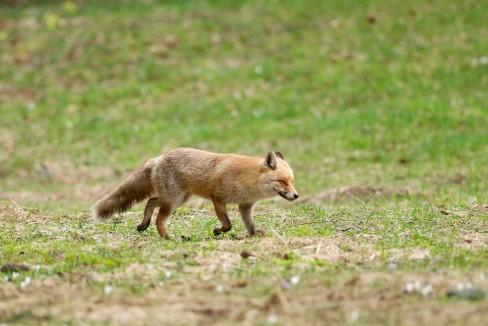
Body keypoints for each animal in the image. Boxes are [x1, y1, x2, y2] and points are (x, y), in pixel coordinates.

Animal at [91, 148, 298, 237]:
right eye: (282, 181)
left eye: (292, 181)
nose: (296, 196)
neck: (249, 181)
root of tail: (158, 157)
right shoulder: (218, 199)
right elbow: (228, 224)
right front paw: (218, 231)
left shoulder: (244, 206)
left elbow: (250, 225)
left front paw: (253, 235)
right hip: (173, 201)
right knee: (159, 217)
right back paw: (167, 237)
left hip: (178, 199)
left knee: (150, 201)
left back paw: (143, 224)